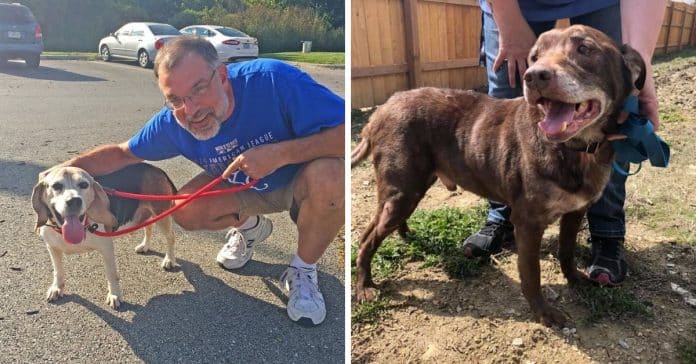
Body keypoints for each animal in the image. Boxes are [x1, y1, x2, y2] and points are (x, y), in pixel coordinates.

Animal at [33, 164, 179, 308]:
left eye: (84, 184)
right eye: (56, 186)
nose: (74, 201)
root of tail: (157, 169)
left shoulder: (106, 248)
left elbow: (111, 273)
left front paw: (114, 295)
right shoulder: (52, 248)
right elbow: (58, 270)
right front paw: (57, 288)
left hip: (161, 214)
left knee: (170, 237)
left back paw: (169, 260)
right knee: (148, 227)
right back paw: (145, 246)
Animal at [354, 25, 648, 328]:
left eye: (585, 49)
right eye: (534, 56)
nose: (534, 76)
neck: (576, 150)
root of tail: (382, 109)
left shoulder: (576, 212)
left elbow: (566, 251)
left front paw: (575, 279)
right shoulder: (528, 222)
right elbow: (532, 273)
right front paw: (543, 312)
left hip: (411, 188)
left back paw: (404, 234)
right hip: (401, 192)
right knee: (366, 238)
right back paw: (364, 286)